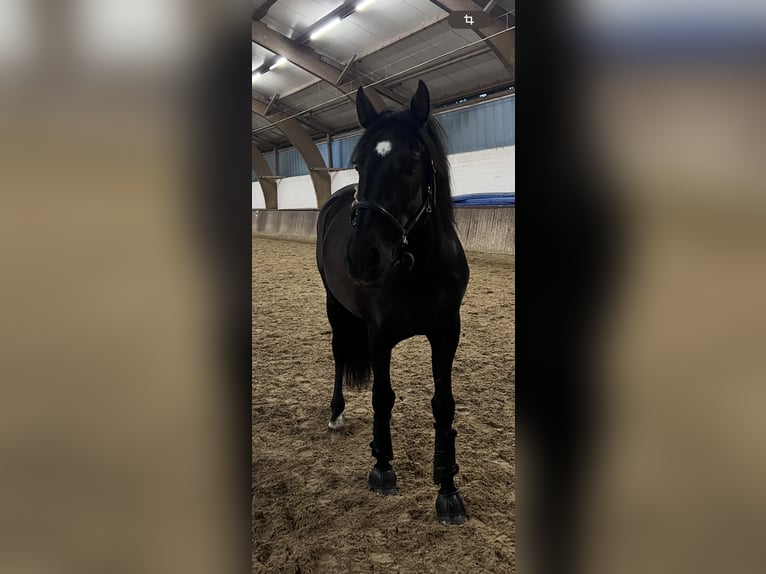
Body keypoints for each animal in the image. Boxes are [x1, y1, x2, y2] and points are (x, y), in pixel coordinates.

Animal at [316, 81, 472, 528]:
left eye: (411, 162)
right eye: (358, 164)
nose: (361, 257)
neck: (416, 268)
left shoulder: (446, 333)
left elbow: (443, 405)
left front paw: (448, 488)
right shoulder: (378, 336)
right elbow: (382, 397)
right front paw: (382, 468)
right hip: (335, 307)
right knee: (338, 354)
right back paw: (336, 414)